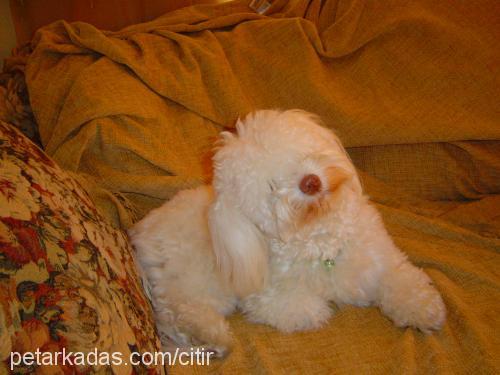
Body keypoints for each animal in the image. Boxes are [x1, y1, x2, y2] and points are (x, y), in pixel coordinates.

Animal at [128, 109, 446, 358]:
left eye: (297, 155)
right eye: (270, 185)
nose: (310, 182)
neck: (320, 239)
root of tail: (141, 231)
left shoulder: (382, 260)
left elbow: (403, 283)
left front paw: (423, 309)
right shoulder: (266, 298)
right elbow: (310, 309)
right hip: (195, 278)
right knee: (178, 311)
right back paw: (208, 337)